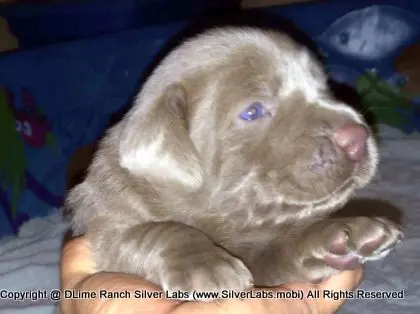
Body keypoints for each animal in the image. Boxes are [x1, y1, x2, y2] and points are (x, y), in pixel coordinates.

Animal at [66, 27, 404, 300]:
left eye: (323, 87)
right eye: (252, 112)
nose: (358, 136)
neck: (227, 221)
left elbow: (282, 246)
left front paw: (345, 231)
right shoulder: (109, 222)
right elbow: (152, 232)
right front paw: (203, 265)